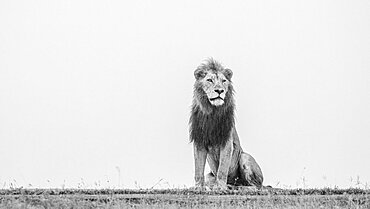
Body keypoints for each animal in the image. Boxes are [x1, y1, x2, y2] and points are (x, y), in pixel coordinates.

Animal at [189, 58, 264, 189]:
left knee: (256, 186)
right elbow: (198, 169)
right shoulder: (199, 141)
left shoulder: (227, 142)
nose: (220, 90)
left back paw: (237, 187)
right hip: (210, 176)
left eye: (224, 81)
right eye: (209, 80)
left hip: (244, 157)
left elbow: (222, 169)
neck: (212, 112)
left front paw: (220, 187)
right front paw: (198, 187)